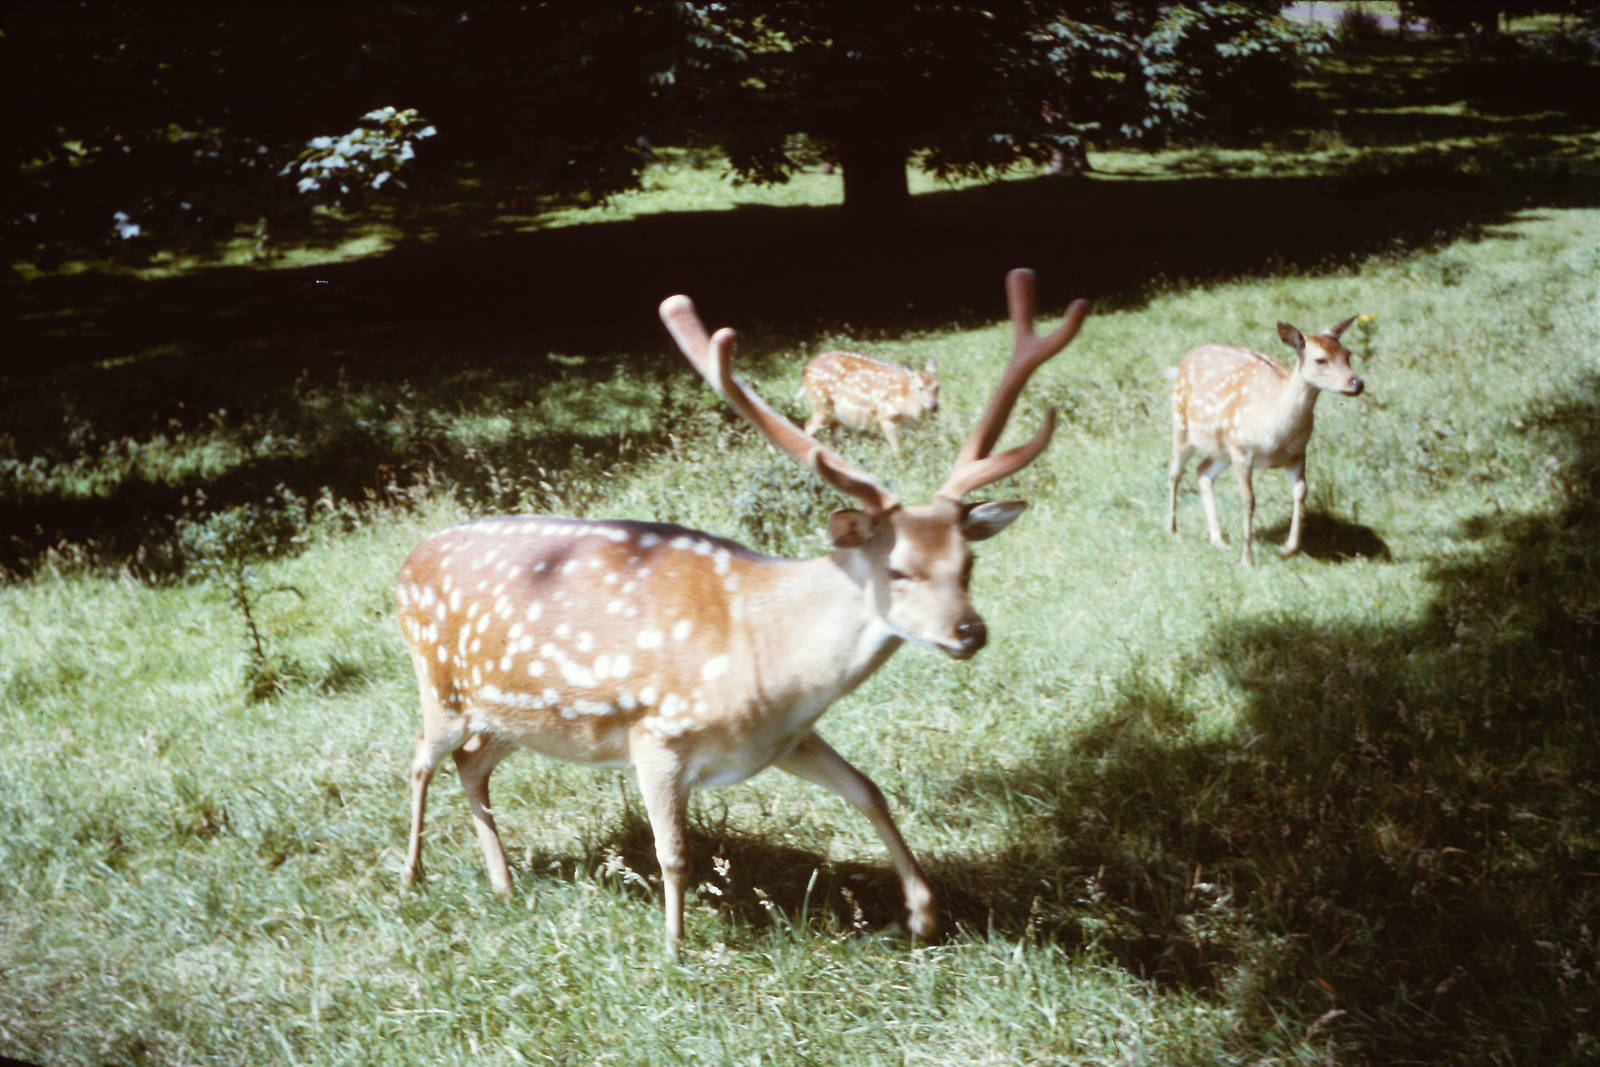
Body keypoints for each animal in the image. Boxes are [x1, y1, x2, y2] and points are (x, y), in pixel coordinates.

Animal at [800, 350, 940, 457]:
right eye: (920, 388)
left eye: (938, 387)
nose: (934, 406)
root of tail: (806, 369)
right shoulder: (885, 416)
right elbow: (897, 449)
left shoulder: (912, 425)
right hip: (821, 405)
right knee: (808, 425)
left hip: (836, 415)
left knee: (829, 436)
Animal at [1166, 316, 1364, 566]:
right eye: (1320, 359)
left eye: (1348, 354)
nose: (1357, 383)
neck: (1275, 432)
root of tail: (1184, 359)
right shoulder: (1242, 451)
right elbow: (1249, 500)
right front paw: (1247, 560)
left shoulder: (1298, 452)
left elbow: (1301, 491)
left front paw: (1288, 548)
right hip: (1182, 425)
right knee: (1174, 471)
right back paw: (1172, 529)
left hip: (1221, 448)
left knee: (1202, 471)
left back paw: (1218, 539)